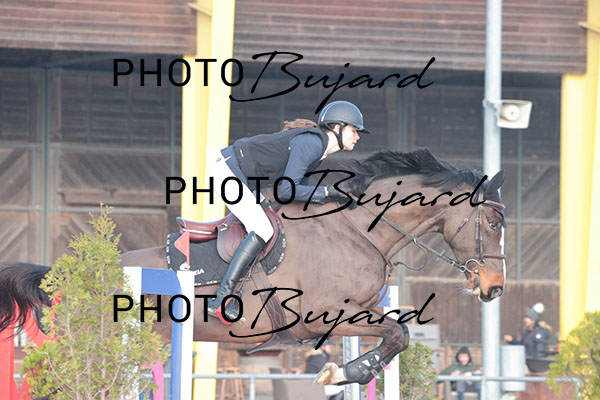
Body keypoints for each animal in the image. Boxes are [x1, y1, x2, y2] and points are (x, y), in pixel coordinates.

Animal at [0, 148, 506, 386]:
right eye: (494, 221)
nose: (494, 288)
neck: (355, 230)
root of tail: (67, 276)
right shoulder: (321, 319)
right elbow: (398, 335)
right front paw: (344, 373)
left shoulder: (361, 311)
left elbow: (397, 333)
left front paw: (346, 372)